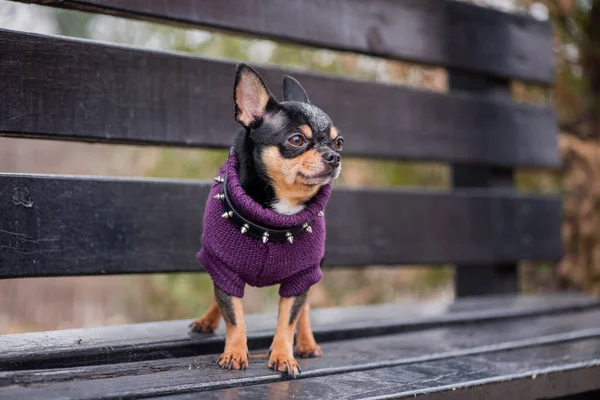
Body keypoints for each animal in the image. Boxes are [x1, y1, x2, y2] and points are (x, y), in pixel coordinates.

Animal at [192, 63, 342, 378]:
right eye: (296, 140)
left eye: (339, 142)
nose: (334, 156)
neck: (275, 218)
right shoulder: (224, 267)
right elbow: (234, 315)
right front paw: (235, 352)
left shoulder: (301, 275)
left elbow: (288, 320)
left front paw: (284, 356)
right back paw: (207, 321)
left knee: (304, 309)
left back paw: (307, 343)